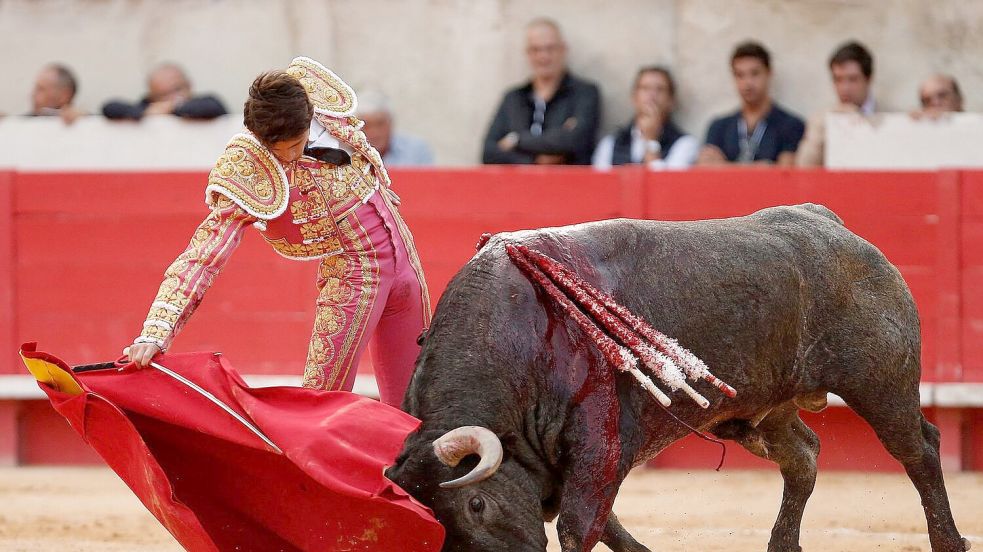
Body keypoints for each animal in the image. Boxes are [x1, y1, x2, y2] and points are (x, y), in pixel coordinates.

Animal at [384, 204, 968, 552]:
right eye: (436, 519)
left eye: (475, 504)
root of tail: (827, 222)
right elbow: (607, 525)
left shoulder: (600, 445)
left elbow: (579, 525)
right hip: (762, 412)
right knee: (803, 456)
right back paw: (782, 545)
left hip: (881, 385)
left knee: (920, 450)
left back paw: (949, 540)